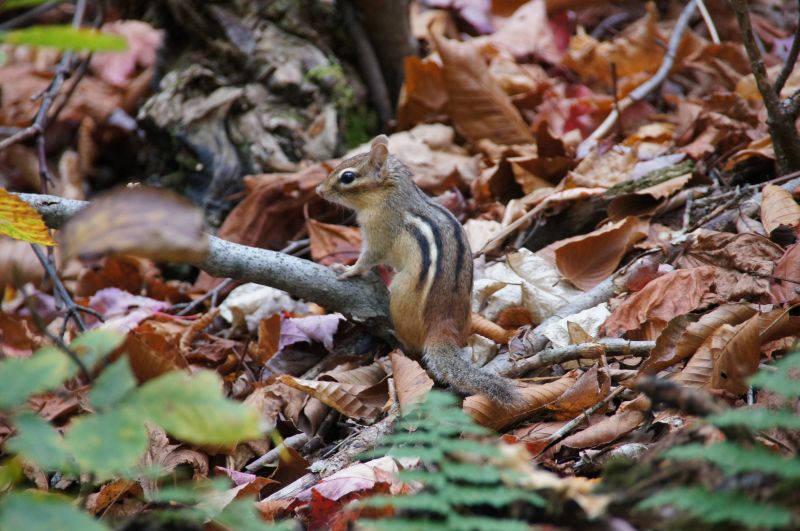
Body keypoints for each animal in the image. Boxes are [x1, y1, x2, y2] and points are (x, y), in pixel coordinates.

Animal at [316, 135, 519, 404]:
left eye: (347, 176)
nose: (319, 191)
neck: (390, 194)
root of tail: (442, 323)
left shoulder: (378, 233)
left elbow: (368, 258)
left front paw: (347, 269)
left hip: (400, 291)